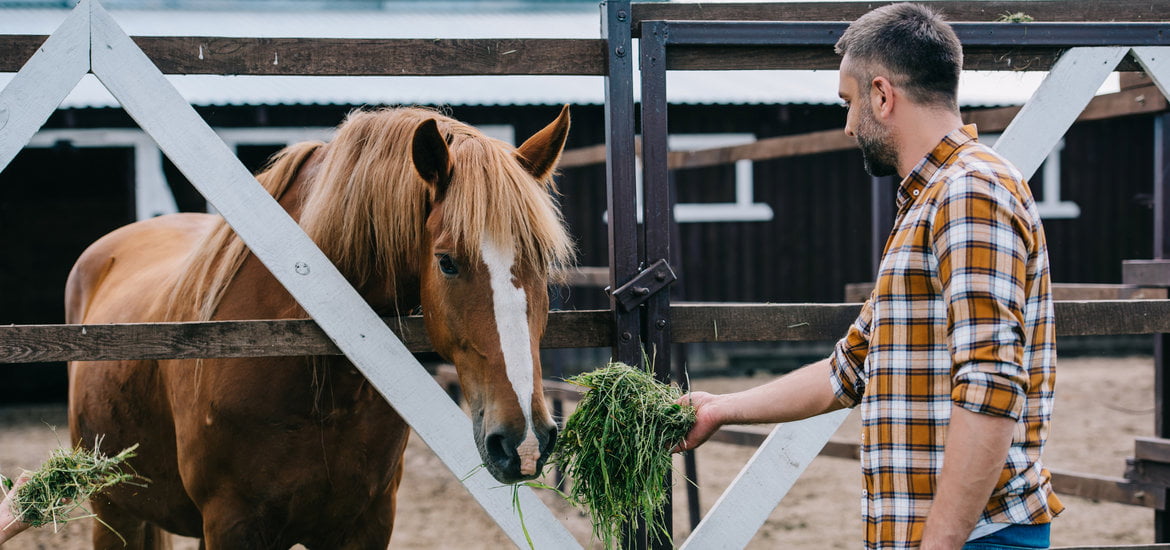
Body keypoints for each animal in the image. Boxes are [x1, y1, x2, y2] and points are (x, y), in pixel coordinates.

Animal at [64, 105, 574, 549]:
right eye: (446, 261)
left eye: (544, 262)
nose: (525, 440)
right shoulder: (232, 524)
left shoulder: (366, 522)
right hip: (112, 510)